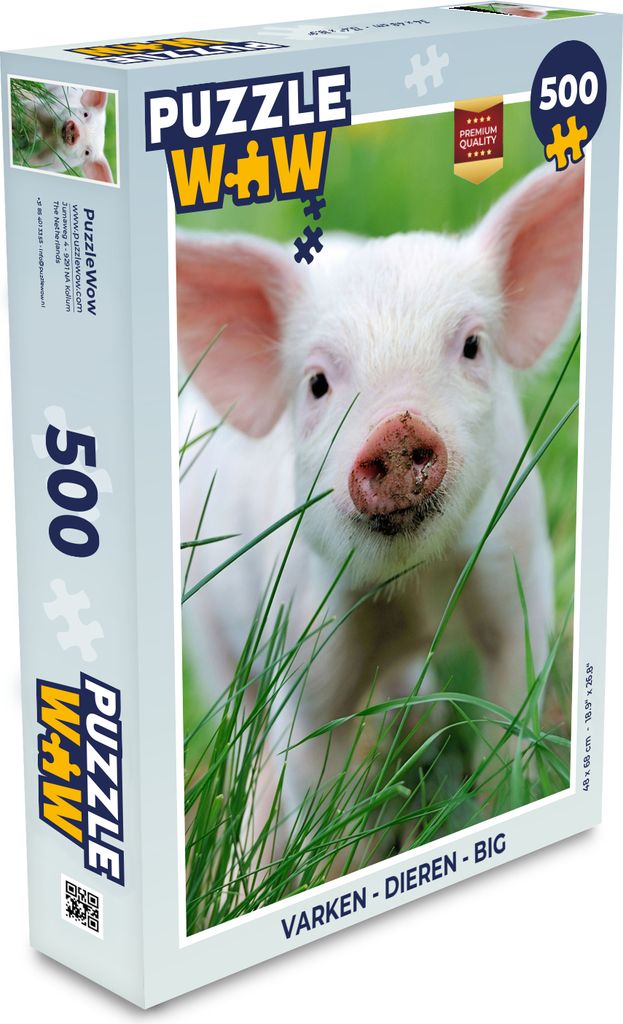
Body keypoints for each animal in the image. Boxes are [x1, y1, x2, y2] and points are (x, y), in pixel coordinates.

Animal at [177, 160, 583, 848]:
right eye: (317, 382)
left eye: (472, 346)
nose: (395, 429)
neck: (414, 588)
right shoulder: (304, 638)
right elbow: (313, 770)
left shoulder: (517, 580)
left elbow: (507, 712)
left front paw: (503, 803)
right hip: (208, 633)